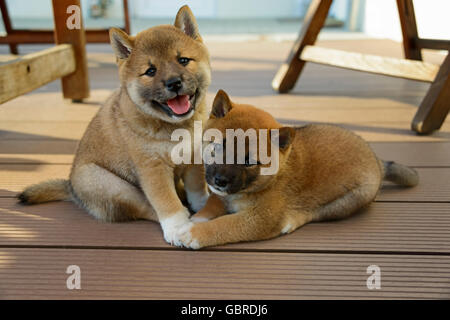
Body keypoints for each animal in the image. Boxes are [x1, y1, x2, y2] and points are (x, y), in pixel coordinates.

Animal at [18, 5, 212, 246]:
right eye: (151, 71)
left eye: (184, 60)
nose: (174, 83)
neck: (177, 126)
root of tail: (72, 189)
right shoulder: (152, 169)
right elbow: (166, 202)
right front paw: (178, 227)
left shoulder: (193, 156)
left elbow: (197, 187)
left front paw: (204, 205)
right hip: (112, 185)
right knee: (147, 208)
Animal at [178, 91, 418, 249]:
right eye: (219, 145)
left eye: (249, 161)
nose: (220, 181)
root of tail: (376, 159)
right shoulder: (221, 196)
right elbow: (212, 204)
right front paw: (196, 219)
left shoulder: (261, 219)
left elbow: (224, 225)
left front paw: (194, 233)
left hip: (348, 201)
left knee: (313, 213)